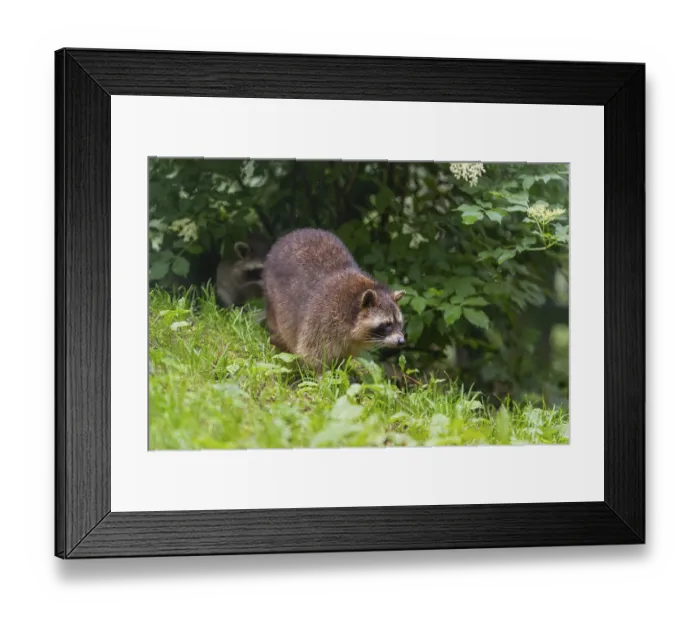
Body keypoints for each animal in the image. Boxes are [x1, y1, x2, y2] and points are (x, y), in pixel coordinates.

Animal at [262, 228, 406, 370]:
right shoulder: (322, 319)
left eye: (399, 323)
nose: (401, 341)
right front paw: (320, 372)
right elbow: (312, 353)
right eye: (387, 324)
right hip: (273, 295)